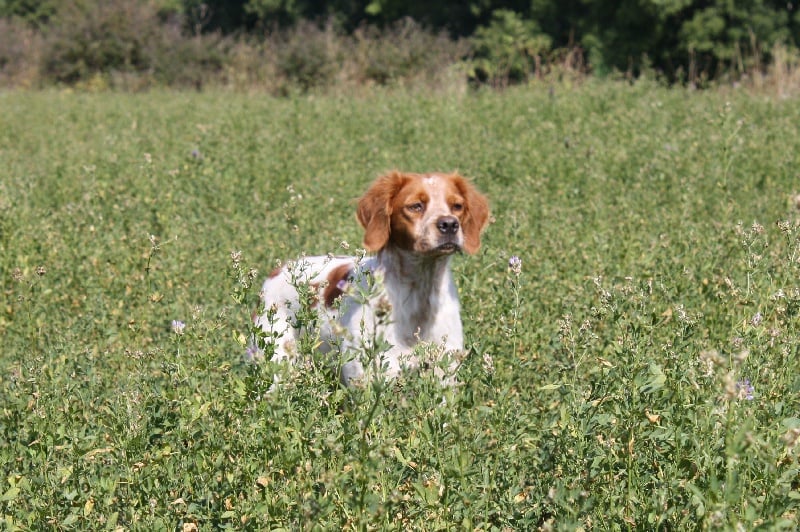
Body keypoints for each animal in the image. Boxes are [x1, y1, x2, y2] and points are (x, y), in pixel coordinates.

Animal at [253, 172, 490, 384]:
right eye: (415, 206)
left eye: (457, 206)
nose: (449, 224)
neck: (419, 295)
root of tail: (278, 270)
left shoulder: (444, 373)